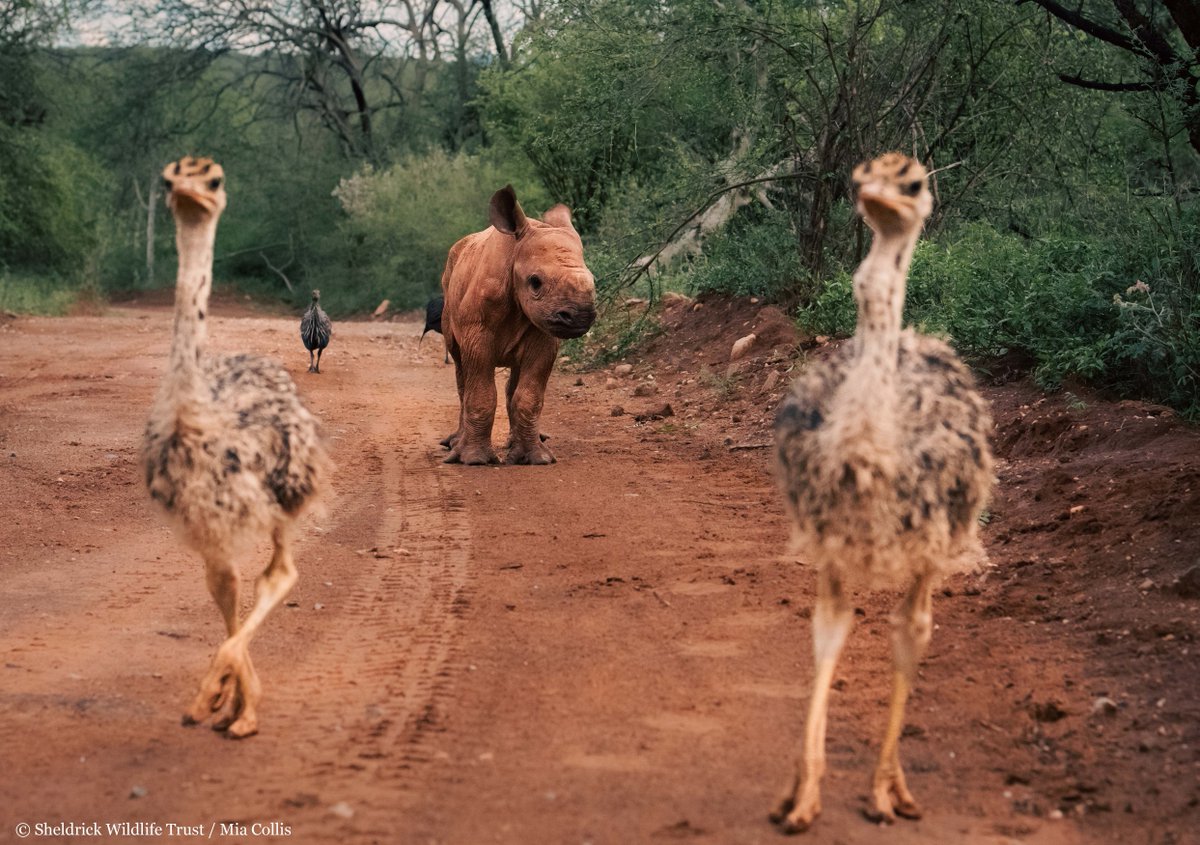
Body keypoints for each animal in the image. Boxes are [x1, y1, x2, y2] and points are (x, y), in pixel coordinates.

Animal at [439, 184, 592, 465]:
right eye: (535, 282)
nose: (581, 317)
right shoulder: (476, 334)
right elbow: (481, 394)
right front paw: (475, 459)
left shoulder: (545, 333)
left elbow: (529, 396)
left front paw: (537, 458)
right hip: (449, 286)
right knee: (460, 369)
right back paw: (454, 444)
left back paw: (519, 443)